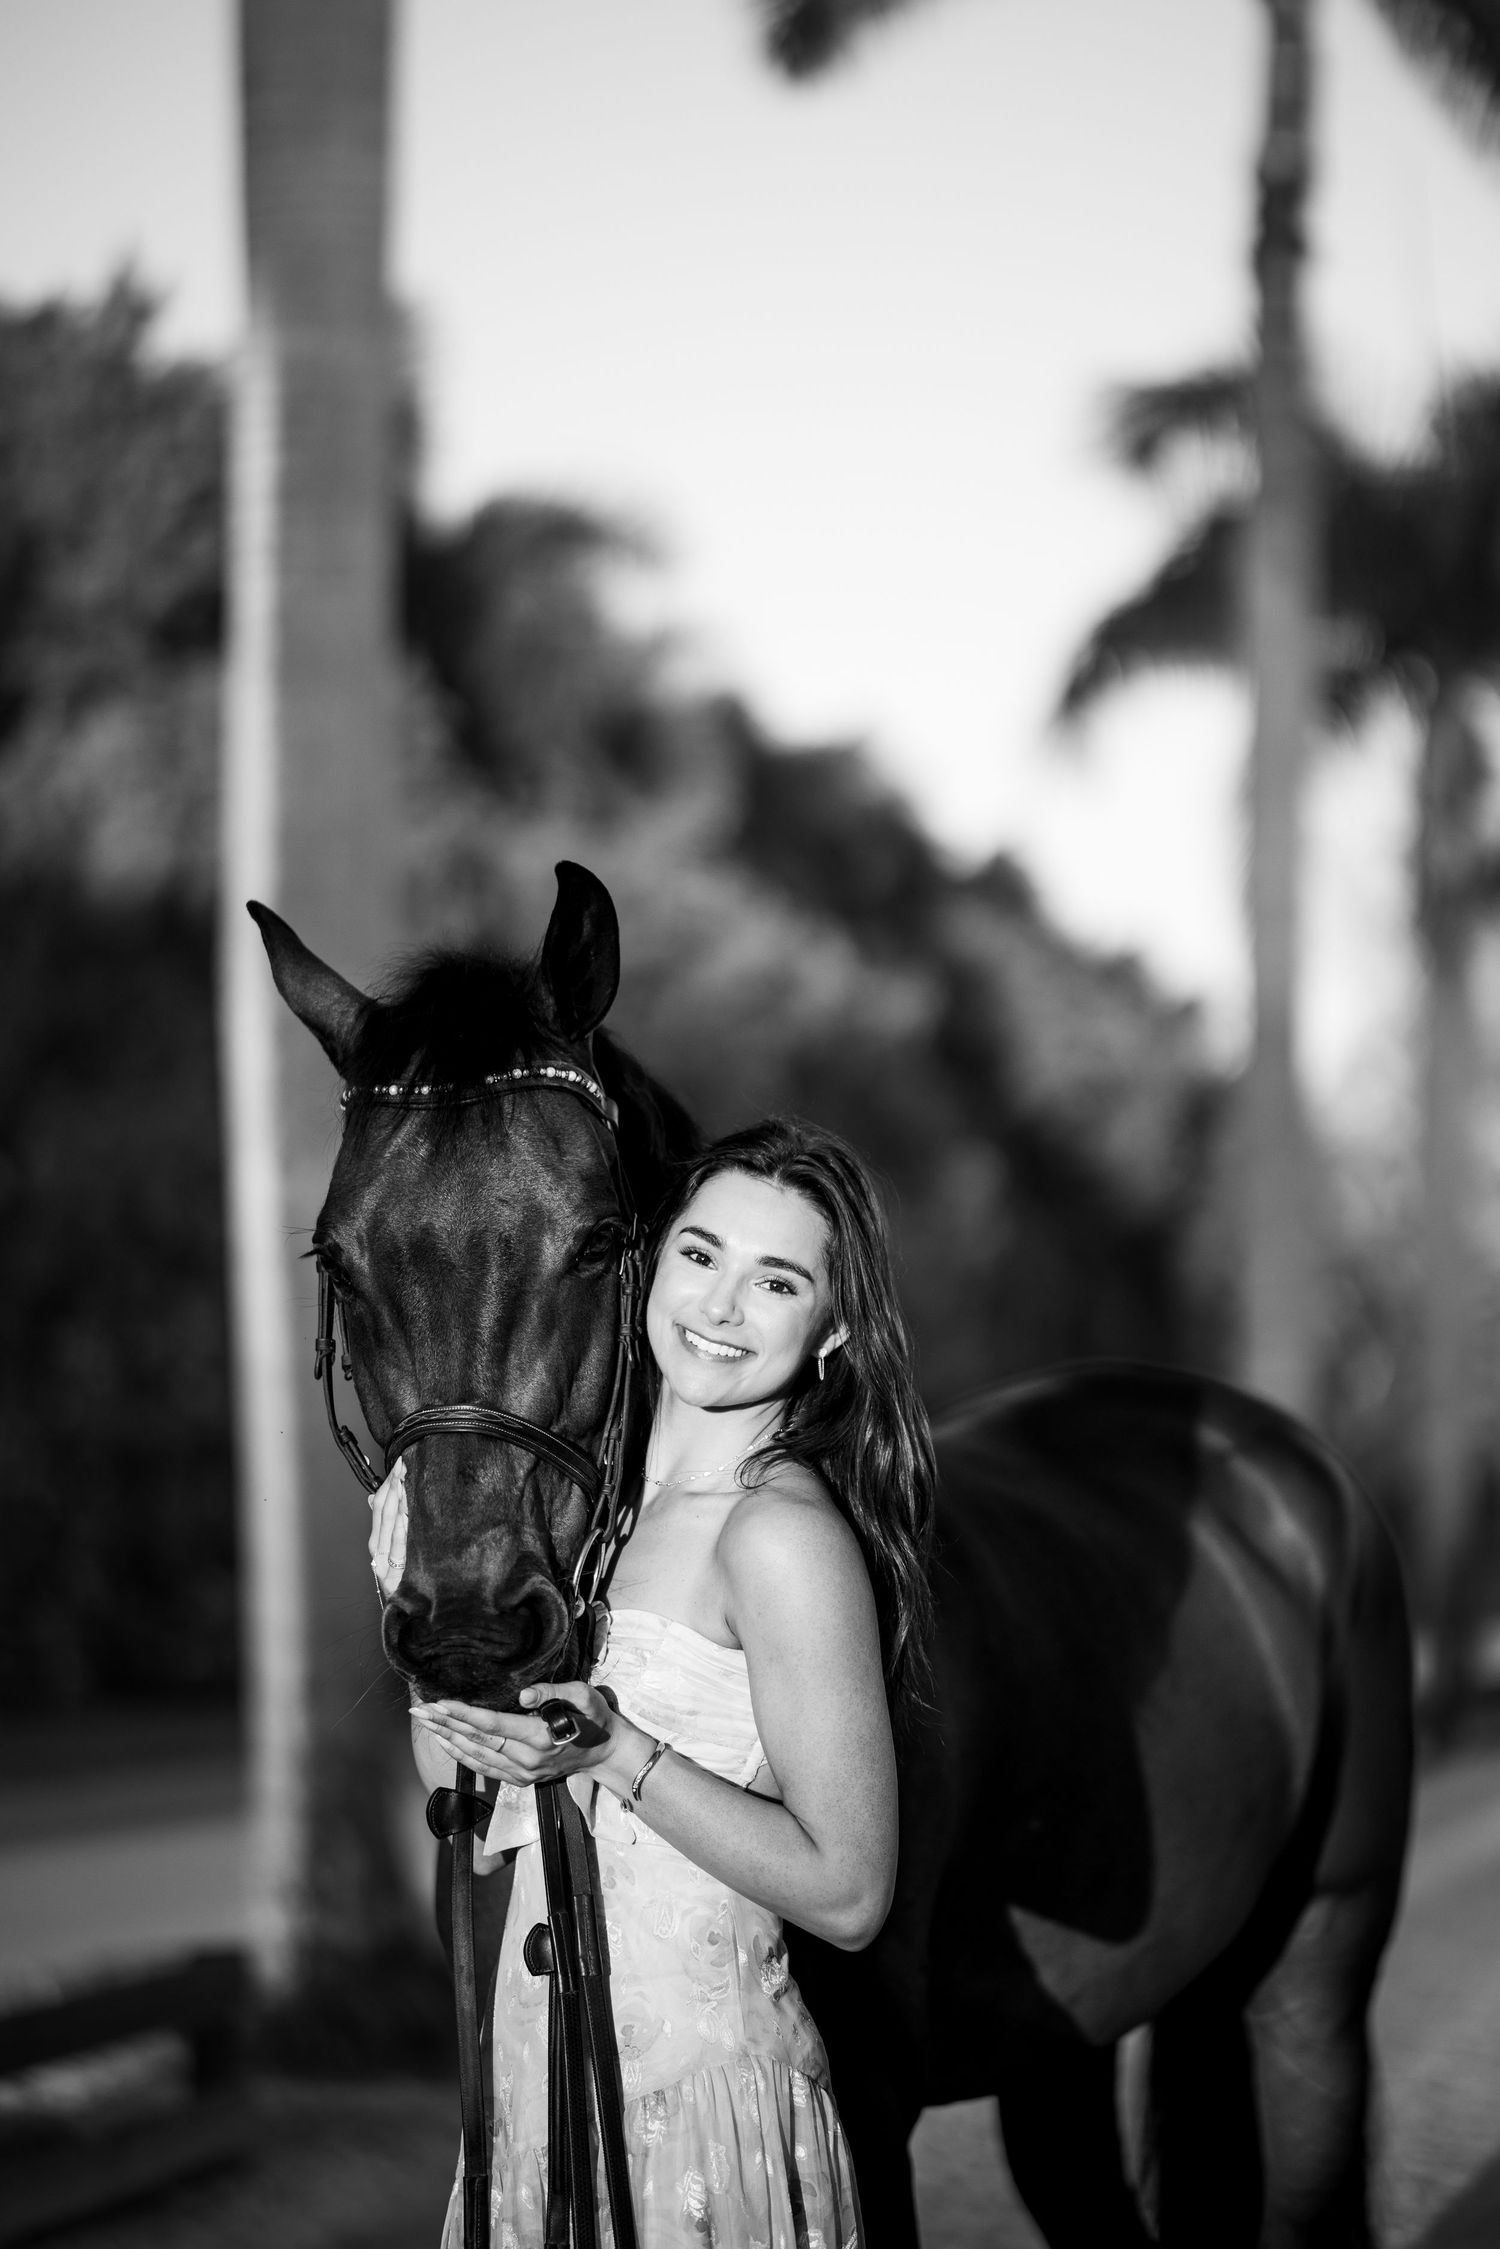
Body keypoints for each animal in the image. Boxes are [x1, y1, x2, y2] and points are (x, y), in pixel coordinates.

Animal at [253, 861, 1413, 2249]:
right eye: (336, 1254)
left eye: (597, 1238)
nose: (471, 1627)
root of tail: (1283, 1457)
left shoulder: (872, 2098)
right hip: (1069, 2046)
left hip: (1313, 1977)